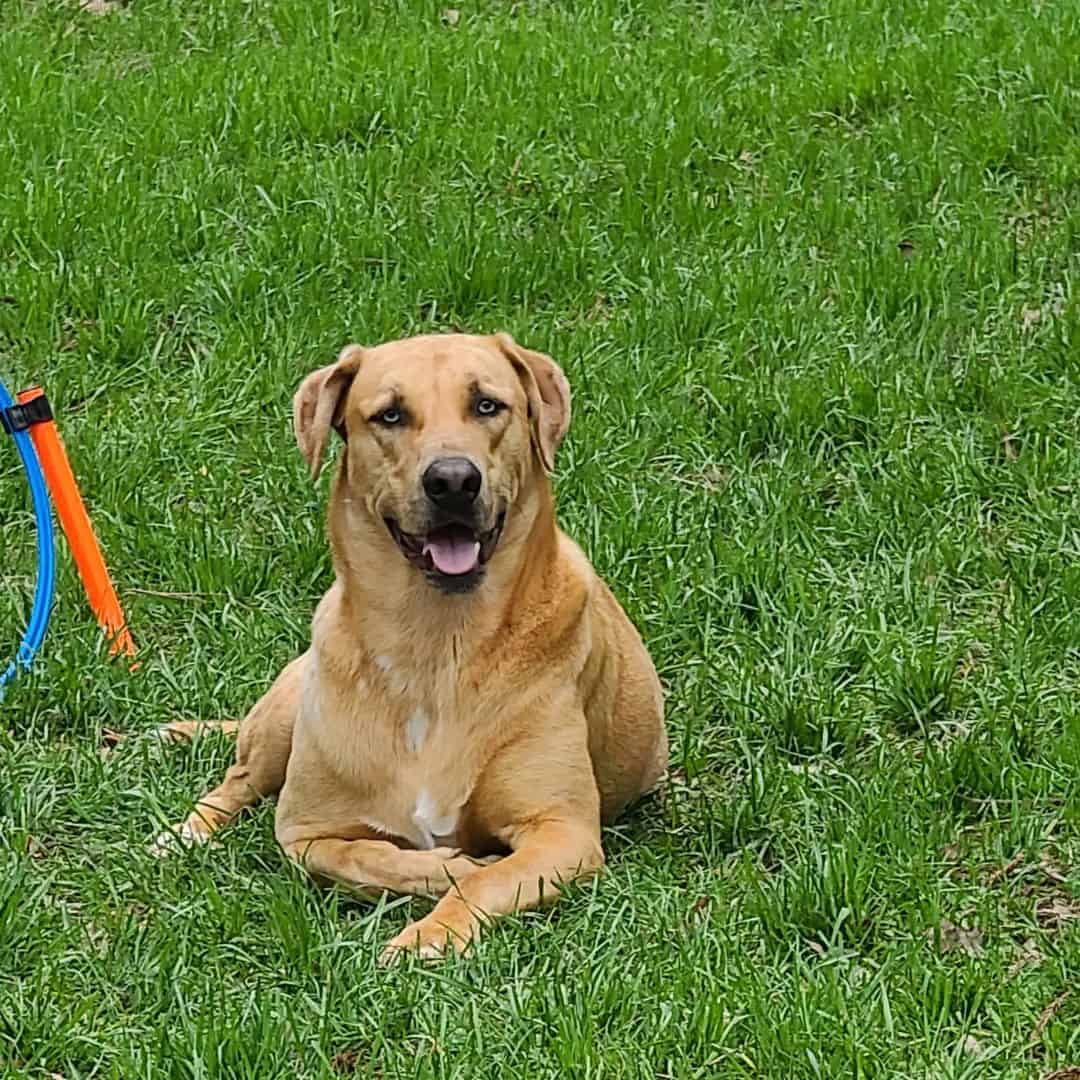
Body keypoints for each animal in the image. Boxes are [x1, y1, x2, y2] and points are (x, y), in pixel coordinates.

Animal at [157, 332, 665, 959]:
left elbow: (487, 880)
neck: (436, 644)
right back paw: (183, 835)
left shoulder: (562, 833)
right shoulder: (304, 831)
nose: (452, 481)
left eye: (487, 405)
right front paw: (448, 868)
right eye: (390, 415)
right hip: (285, 712)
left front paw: (429, 933)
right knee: (237, 781)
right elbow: (364, 855)